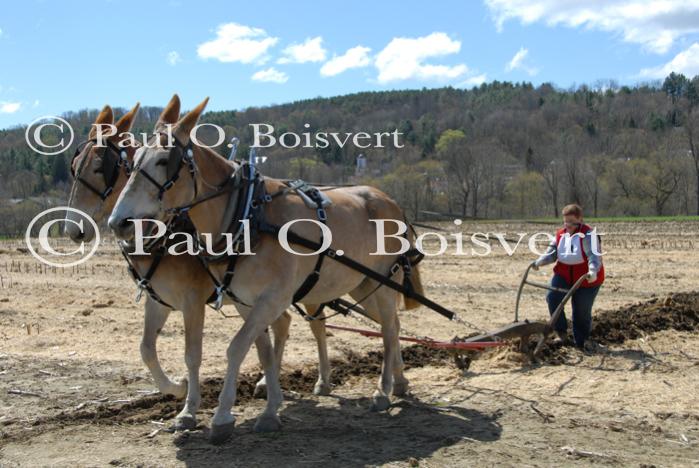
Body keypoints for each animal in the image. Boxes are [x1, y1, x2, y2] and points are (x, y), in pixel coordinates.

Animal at [66, 98, 336, 432]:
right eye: (74, 167)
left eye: (99, 168)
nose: (74, 229)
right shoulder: (159, 300)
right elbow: (146, 349)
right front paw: (176, 388)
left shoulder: (192, 300)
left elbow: (192, 354)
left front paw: (189, 409)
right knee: (281, 324)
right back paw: (266, 385)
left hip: (309, 289)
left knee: (317, 326)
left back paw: (322, 380)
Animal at [108, 97, 424, 444]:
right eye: (133, 161)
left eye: (164, 160)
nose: (118, 222)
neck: (248, 215)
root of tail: (390, 200)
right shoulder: (246, 301)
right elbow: (264, 352)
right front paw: (271, 409)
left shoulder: (271, 298)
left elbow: (235, 348)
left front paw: (222, 416)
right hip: (362, 283)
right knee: (391, 325)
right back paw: (398, 382)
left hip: (386, 282)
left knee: (389, 329)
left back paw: (383, 390)